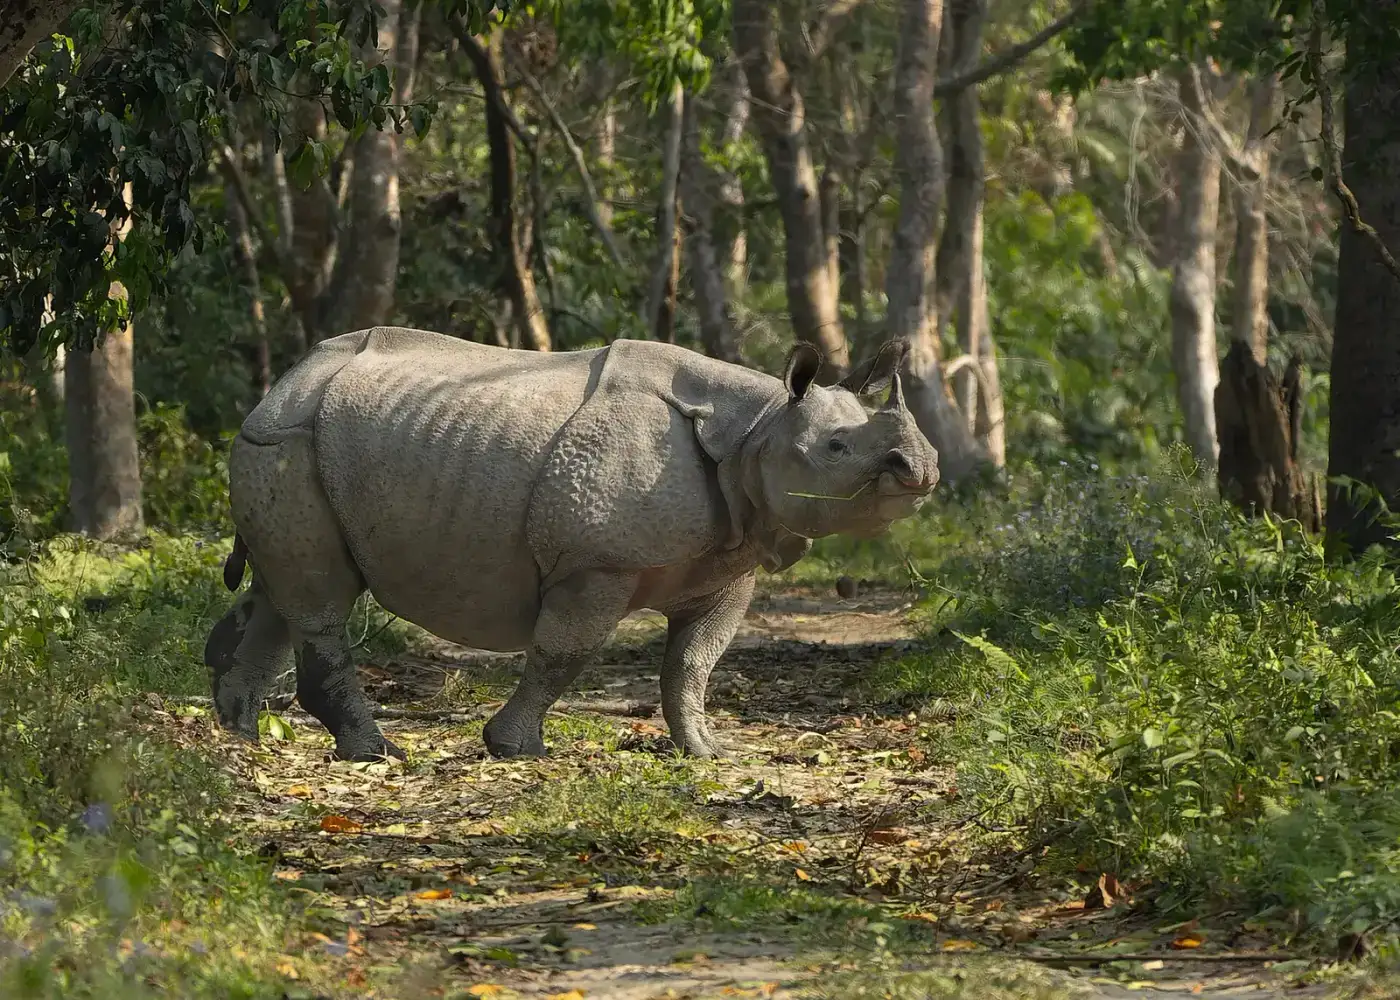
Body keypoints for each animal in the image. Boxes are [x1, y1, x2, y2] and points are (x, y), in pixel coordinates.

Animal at [203, 328, 939, 762]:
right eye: (836, 448)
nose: (923, 468)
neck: (756, 430)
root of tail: (278, 387)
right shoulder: (596, 564)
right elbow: (564, 654)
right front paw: (516, 749)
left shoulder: (730, 563)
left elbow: (694, 661)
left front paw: (707, 752)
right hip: (287, 442)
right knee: (321, 599)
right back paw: (375, 753)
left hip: (298, 440)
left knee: (284, 594)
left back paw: (238, 735)